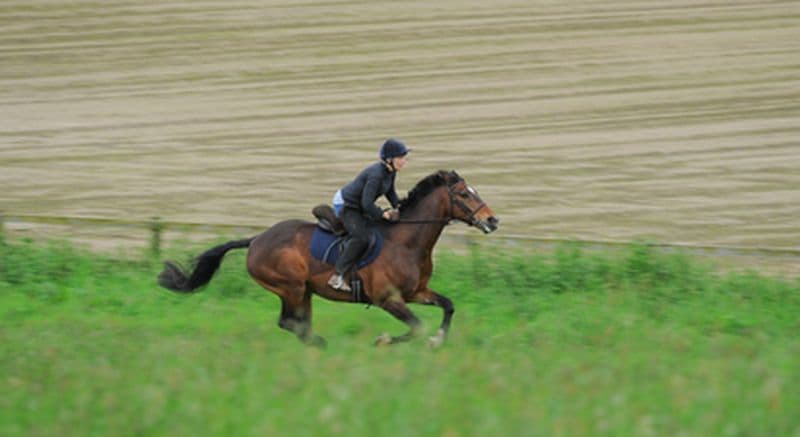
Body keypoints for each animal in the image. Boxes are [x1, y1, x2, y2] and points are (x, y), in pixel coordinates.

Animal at [158, 170, 499, 347]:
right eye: (464, 194)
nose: (493, 221)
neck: (406, 242)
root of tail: (256, 240)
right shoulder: (387, 299)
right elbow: (416, 326)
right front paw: (384, 340)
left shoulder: (416, 292)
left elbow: (448, 306)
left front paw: (437, 340)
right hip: (292, 287)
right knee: (291, 322)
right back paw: (323, 345)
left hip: (303, 291)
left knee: (295, 324)